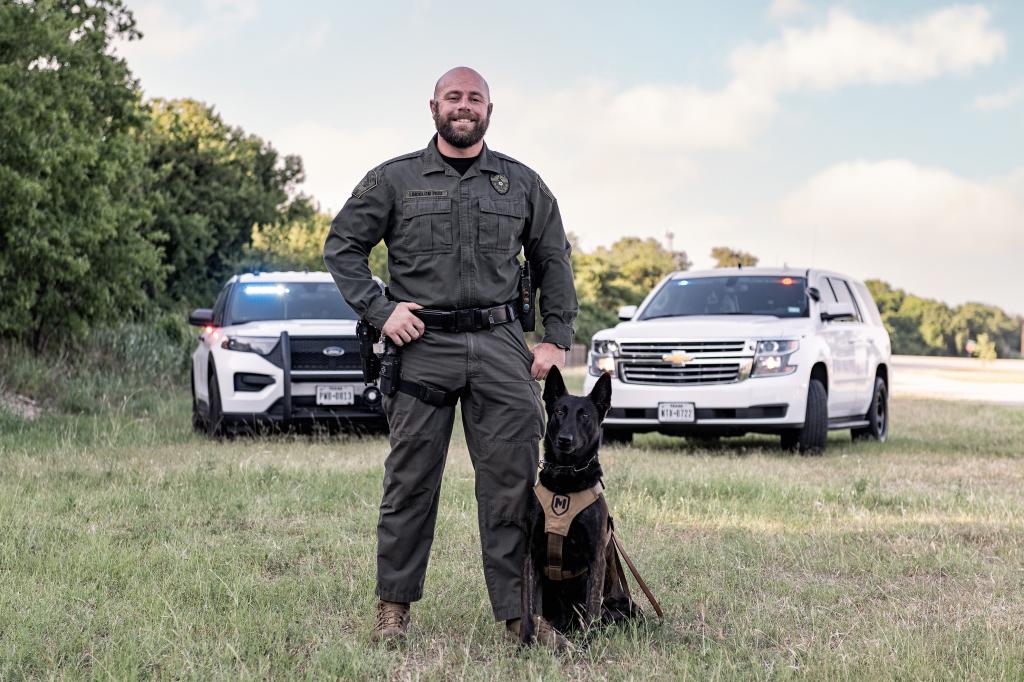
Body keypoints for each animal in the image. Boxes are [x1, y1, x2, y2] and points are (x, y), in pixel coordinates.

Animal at [524, 364, 634, 638]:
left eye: (584, 416)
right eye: (559, 412)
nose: (565, 439)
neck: (566, 479)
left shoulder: (595, 556)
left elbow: (592, 609)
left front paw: (589, 643)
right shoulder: (532, 554)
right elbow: (531, 609)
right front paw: (527, 640)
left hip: (625, 606)